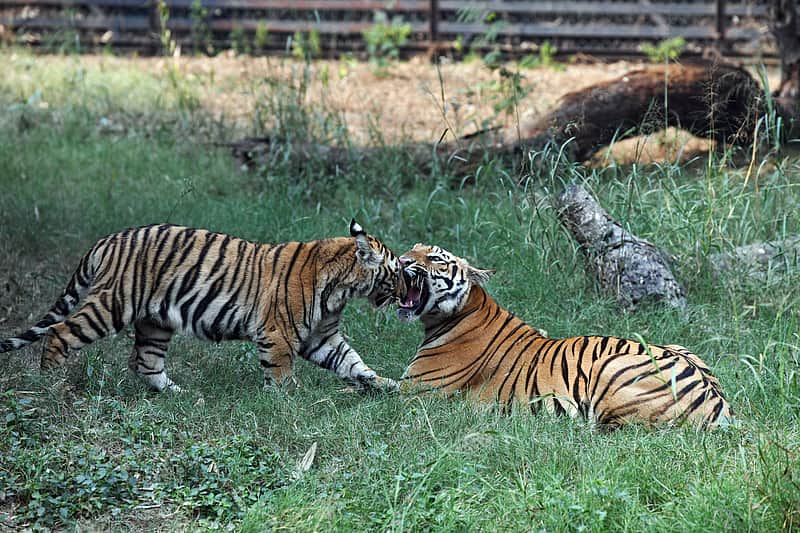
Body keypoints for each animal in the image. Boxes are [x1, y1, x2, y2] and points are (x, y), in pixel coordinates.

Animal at [0, 220, 403, 392]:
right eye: (396, 271)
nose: (405, 293)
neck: (340, 291)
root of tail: (108, 239)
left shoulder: (322, 337)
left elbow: (353, 362)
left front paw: (386, 385)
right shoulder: (278, 335)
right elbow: (281, 374)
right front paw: (289, 402)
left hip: (155, 322)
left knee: (144, 362)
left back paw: (179, 396)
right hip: (112, 304)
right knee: (59, 332)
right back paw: (49, 384)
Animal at [395, 243, 733, 430]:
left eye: (436, 259)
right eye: (412, 249)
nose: (401, 261)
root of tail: (720, 405)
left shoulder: (417, 391)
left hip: (609, 369)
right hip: (682, 346)